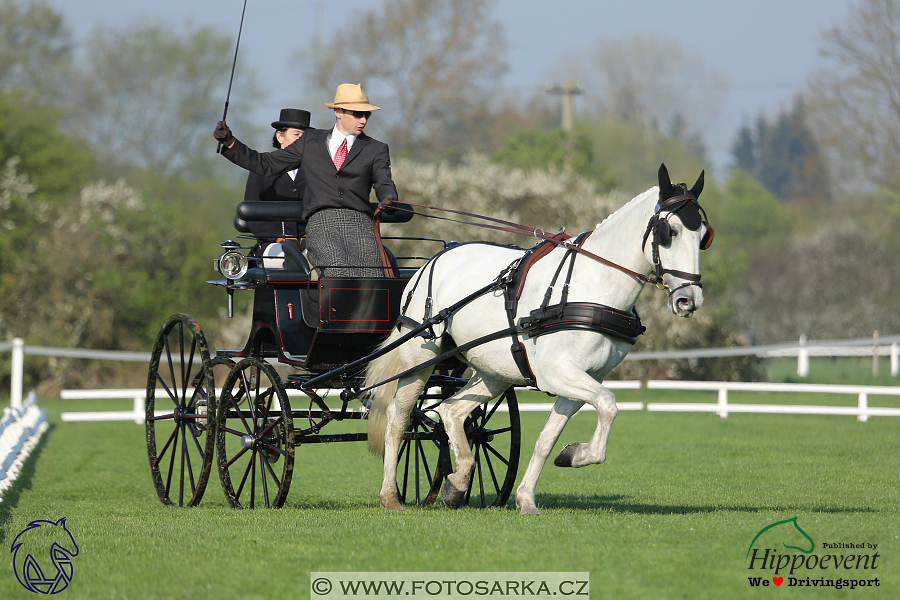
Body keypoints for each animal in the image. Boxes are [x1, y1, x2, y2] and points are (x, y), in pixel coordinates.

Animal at [364, 164, 712, 516]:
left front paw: (533, 491)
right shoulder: (557, 373)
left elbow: (548, 439)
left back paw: (456, 483)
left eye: (702, 236)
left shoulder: (585, 378)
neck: (592, 285)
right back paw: (390, 496)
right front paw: (577, 454)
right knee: (399, 419)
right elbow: (608, 404)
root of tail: (432, 261)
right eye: (669, 231)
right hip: (420, 359)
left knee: (452, 411)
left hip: (493, 371)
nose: (688, 300)